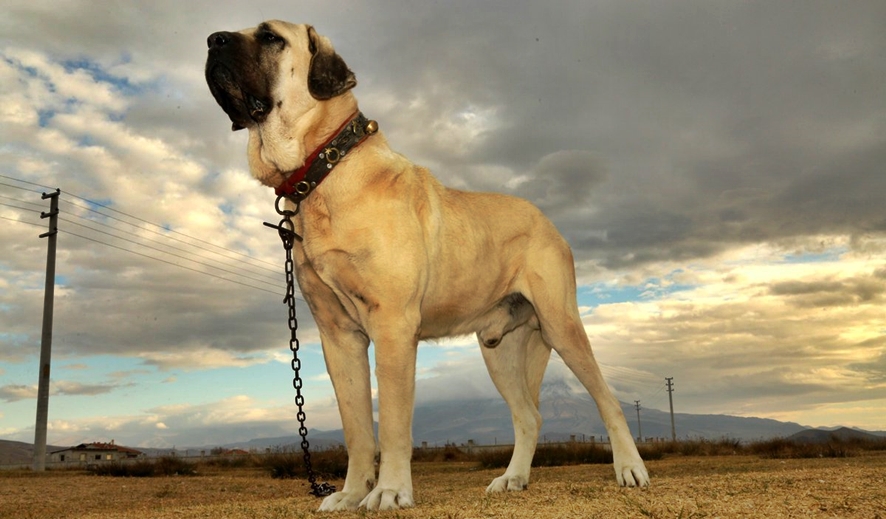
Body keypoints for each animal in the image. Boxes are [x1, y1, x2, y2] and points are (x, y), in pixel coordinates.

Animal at [208, 19, 652, 512]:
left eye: (270, 37)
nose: (211, 41)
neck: (324, 170)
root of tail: (547, 221)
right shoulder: (338, 337)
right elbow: (357, 428)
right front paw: (351, 493)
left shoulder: (393, 325)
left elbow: (393, 423)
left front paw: (389, 491)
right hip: (500, 348)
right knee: (530, 416)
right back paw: (512, 478)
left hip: (561, 324)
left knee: (607, 400)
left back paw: (630, 469)